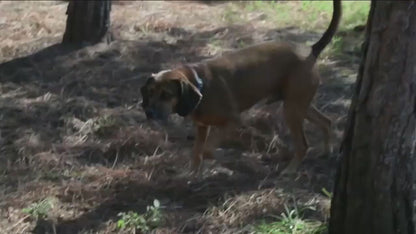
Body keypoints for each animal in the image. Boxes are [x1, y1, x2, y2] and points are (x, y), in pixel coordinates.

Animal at [140, 0, 342, 176]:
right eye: (150, 93)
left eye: (166, 94)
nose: (149, 112)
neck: (201, 85)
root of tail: (310, 50)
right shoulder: (202, 127)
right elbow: (197, 152)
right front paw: (191, 174)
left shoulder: (233, 122)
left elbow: (207, 149)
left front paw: (219, 161)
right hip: (297, 104)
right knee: (326, 121)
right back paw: (326, 151)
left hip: (291, 109)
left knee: (303, 144)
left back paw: (290, 170)